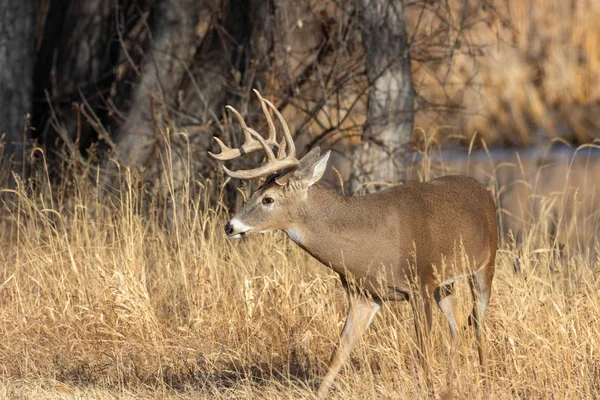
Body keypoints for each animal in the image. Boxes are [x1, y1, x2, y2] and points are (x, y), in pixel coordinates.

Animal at [209, 89, 500, 398]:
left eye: (268, 199)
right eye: (255, 191)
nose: (230, 226)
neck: (370, 242)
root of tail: (481, 188)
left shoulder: (419, 284)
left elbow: (423, 352)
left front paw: (428, 390)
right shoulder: (365, 294)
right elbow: (339, 351)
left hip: (486, 264)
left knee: (478, 324)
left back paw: (484, 382)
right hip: (445, 284)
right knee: (458, 327)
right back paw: (451, 385)